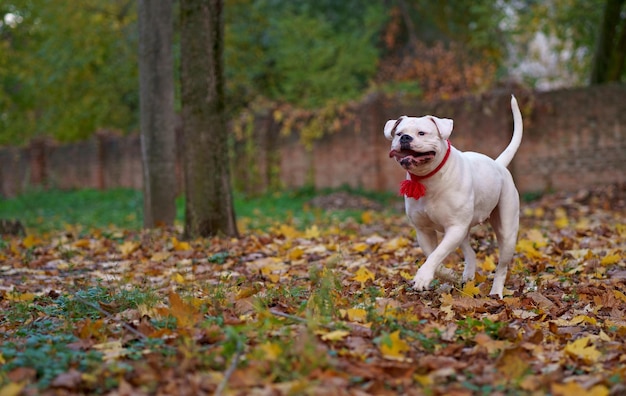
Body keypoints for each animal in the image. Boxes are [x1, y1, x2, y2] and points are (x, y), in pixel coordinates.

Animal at [386, 96, 520, 296]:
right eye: (398, 133)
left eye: (422, 133)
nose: (405, 138)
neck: (429, 179)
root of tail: (498, 165)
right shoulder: (424, 231)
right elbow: (433, 256)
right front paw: (446, 275)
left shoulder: (455, 228)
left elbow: (437, 254)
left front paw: (422, 277)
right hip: (463, 230)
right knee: (470, 253)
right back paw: (467, 276)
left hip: (506, 231)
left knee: (502, 266)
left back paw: (496, 292)